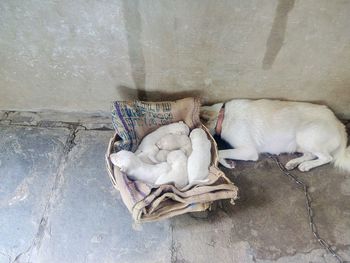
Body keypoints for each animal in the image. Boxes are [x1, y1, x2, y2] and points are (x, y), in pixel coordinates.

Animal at [200, 99, 350, 173]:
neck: (223, 115)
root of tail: (339, 124)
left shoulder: (249, 151)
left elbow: (219, 151)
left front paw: (224, 161)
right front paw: (227, 163)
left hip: (305, 135)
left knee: (327, 158)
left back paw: (307, 166)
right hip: (300, 143)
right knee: (311, 154)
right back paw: (295, 163)